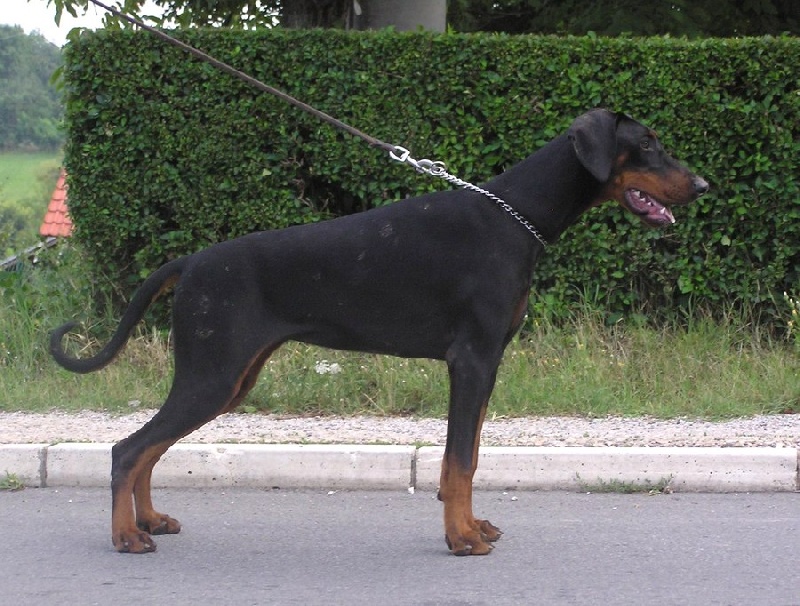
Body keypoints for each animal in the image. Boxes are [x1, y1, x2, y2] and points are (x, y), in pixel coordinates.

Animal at [50, 108, 708, 555]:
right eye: (647, 144)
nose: (703, 186)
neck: (515, 216)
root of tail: (188, 263)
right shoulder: (472, 359)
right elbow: (458, 459)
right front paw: (462, 539)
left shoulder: (487, 364)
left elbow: (466, 456)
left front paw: (469, 525)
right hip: (212, 375)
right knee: (128, 448)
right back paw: (126, 537)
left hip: (230, 380)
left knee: (149, 449)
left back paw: (149, 522)